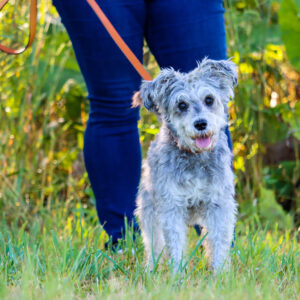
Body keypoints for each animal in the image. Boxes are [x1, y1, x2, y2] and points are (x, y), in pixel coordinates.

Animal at [134, 57, 239, 274]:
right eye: (181, 105)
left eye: (209, 99)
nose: (200, 124)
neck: (196, 158)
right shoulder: (171, 206)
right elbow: (175, 243)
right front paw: (177, 274)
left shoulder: (219, 204)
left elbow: (219, 241)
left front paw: (220, 273)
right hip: (149, 209)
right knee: (153, 243)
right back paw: (151, 269)